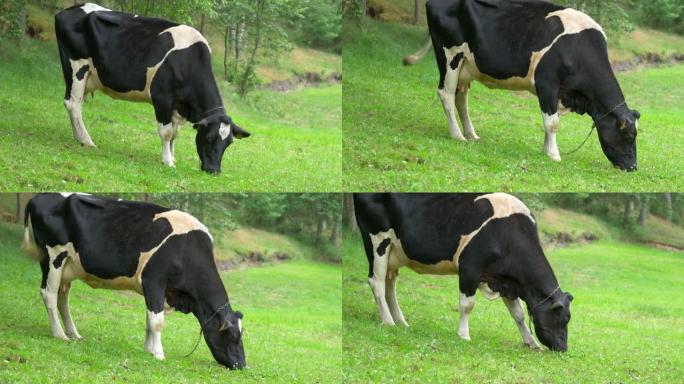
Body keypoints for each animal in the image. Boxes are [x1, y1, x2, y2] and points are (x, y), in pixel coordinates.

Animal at [23, 194, 246, 368]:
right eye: (233, 337)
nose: (242, 365)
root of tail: (39, 197)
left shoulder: (156, 289)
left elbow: (149, 319)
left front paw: (149, 349)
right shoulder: (154, 280)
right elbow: (157, 321)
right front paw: (159, 354)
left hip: (68, 267)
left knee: (63, 298)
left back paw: (73, 334)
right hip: (53, 257)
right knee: (49, 294)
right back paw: (60, 334)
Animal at [54, 2, 250, 174]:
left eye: (229, 143)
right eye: (209, 138)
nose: (213, 170)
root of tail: (67, 11)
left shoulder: (178, 105)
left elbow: (175, 133)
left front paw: (172, 156)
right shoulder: (162, 97)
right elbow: (167, 132)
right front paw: (168, 161)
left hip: (88, 77)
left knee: (75, 104)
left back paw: (78, 137)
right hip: (76, 67)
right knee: (73, 104)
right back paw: (87, 141)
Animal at [356, 194, 576, 352]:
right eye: (563, 319)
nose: (563, 348)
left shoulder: (506, 281)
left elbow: (519, 314)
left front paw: (531, 343)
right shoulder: (470, 268)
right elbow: (467, 305)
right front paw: (463, 335)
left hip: (394, 253)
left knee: (389, 287)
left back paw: (401, 322)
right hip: (377, 241)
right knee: (376, 282)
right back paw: (388, 321)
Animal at [404, 0, 640, 171]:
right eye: (629, 136)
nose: (633, 167)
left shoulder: (558, 92)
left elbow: (549, 121)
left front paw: (546, 150)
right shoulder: (547, 82)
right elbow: (552, 123)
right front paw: (554, 154)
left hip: (466, 66)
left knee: (461, 98)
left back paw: (471, 134)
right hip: (450, 56)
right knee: (446, 94)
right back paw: (457, 135)